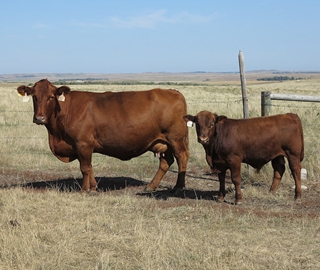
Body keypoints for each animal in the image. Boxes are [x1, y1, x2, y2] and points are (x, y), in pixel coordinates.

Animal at [17, 79, 189, 192]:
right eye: (34, 97)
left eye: (51, 97)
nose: (39, 118)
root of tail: (172, 91)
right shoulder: (80, 146)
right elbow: (89, 167)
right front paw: (93, 187)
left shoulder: (83, 143)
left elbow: (84, 168)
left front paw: (85, 189)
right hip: (163, 142)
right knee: (166, 162)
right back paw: (151, 186)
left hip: (175, 138)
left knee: (182, 157)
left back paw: (178, 187)